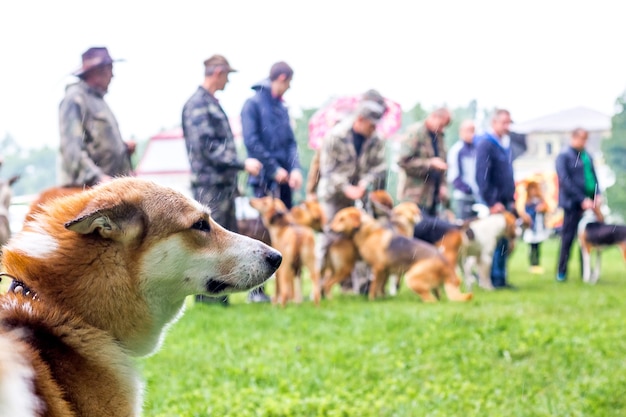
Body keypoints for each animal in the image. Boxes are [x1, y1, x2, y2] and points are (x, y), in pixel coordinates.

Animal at [330, 206, 470, 300]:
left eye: (341, 219)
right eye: (336, 218)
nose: (330, 229)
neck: (368, 232)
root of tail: (446, 266)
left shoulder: (378, 267)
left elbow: (374, 287)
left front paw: (371, 300)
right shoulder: (384, 271)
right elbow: (380, 287)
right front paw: (382, 298)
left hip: (412, 278)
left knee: (430, 300)